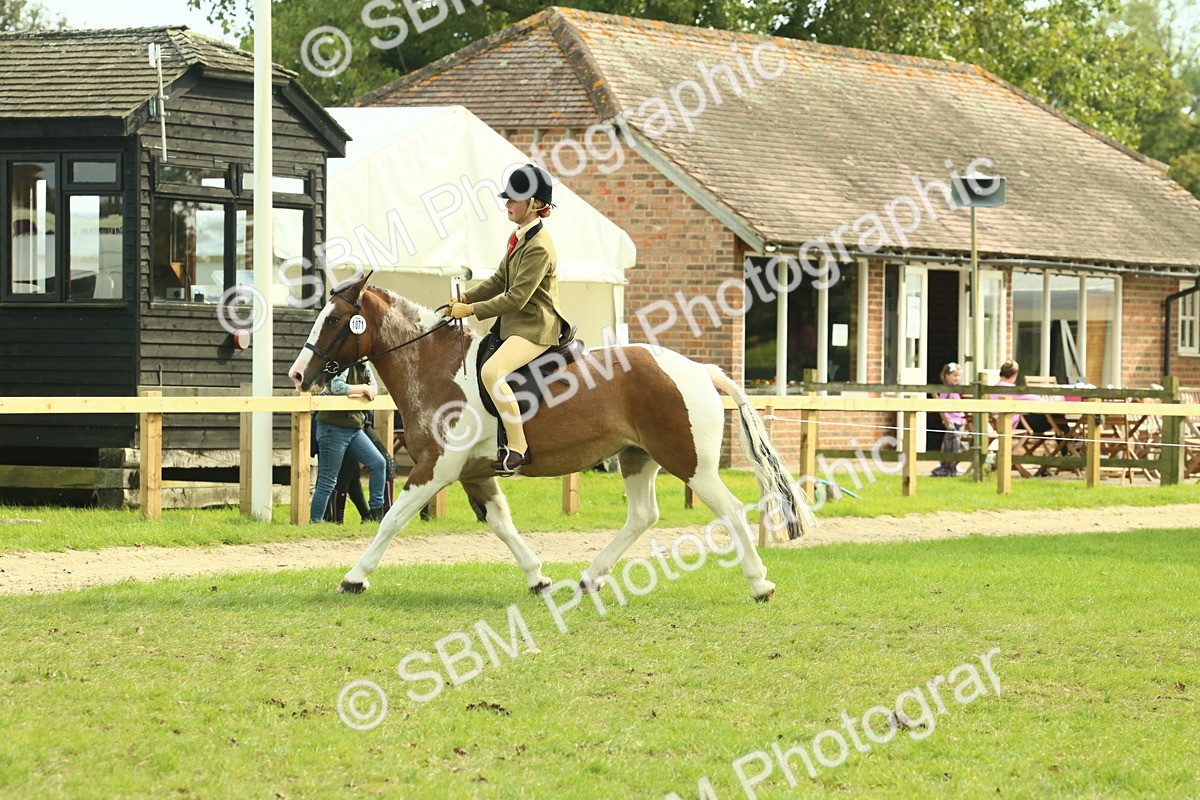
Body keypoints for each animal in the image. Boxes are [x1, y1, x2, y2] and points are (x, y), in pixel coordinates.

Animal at [287, 274, 815, 601]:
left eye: (333, 319)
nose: (297, 374)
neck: (437, 366)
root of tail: (699, 370)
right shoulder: (474, 473)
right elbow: (502, 524)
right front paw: (538, 578)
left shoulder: (434, 468)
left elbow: (392, 520)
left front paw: (354, 578)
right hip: (637, 458)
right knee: (643, 515)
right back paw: (590, 577)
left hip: (691, 465)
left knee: (731, 511)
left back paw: (760, 584)